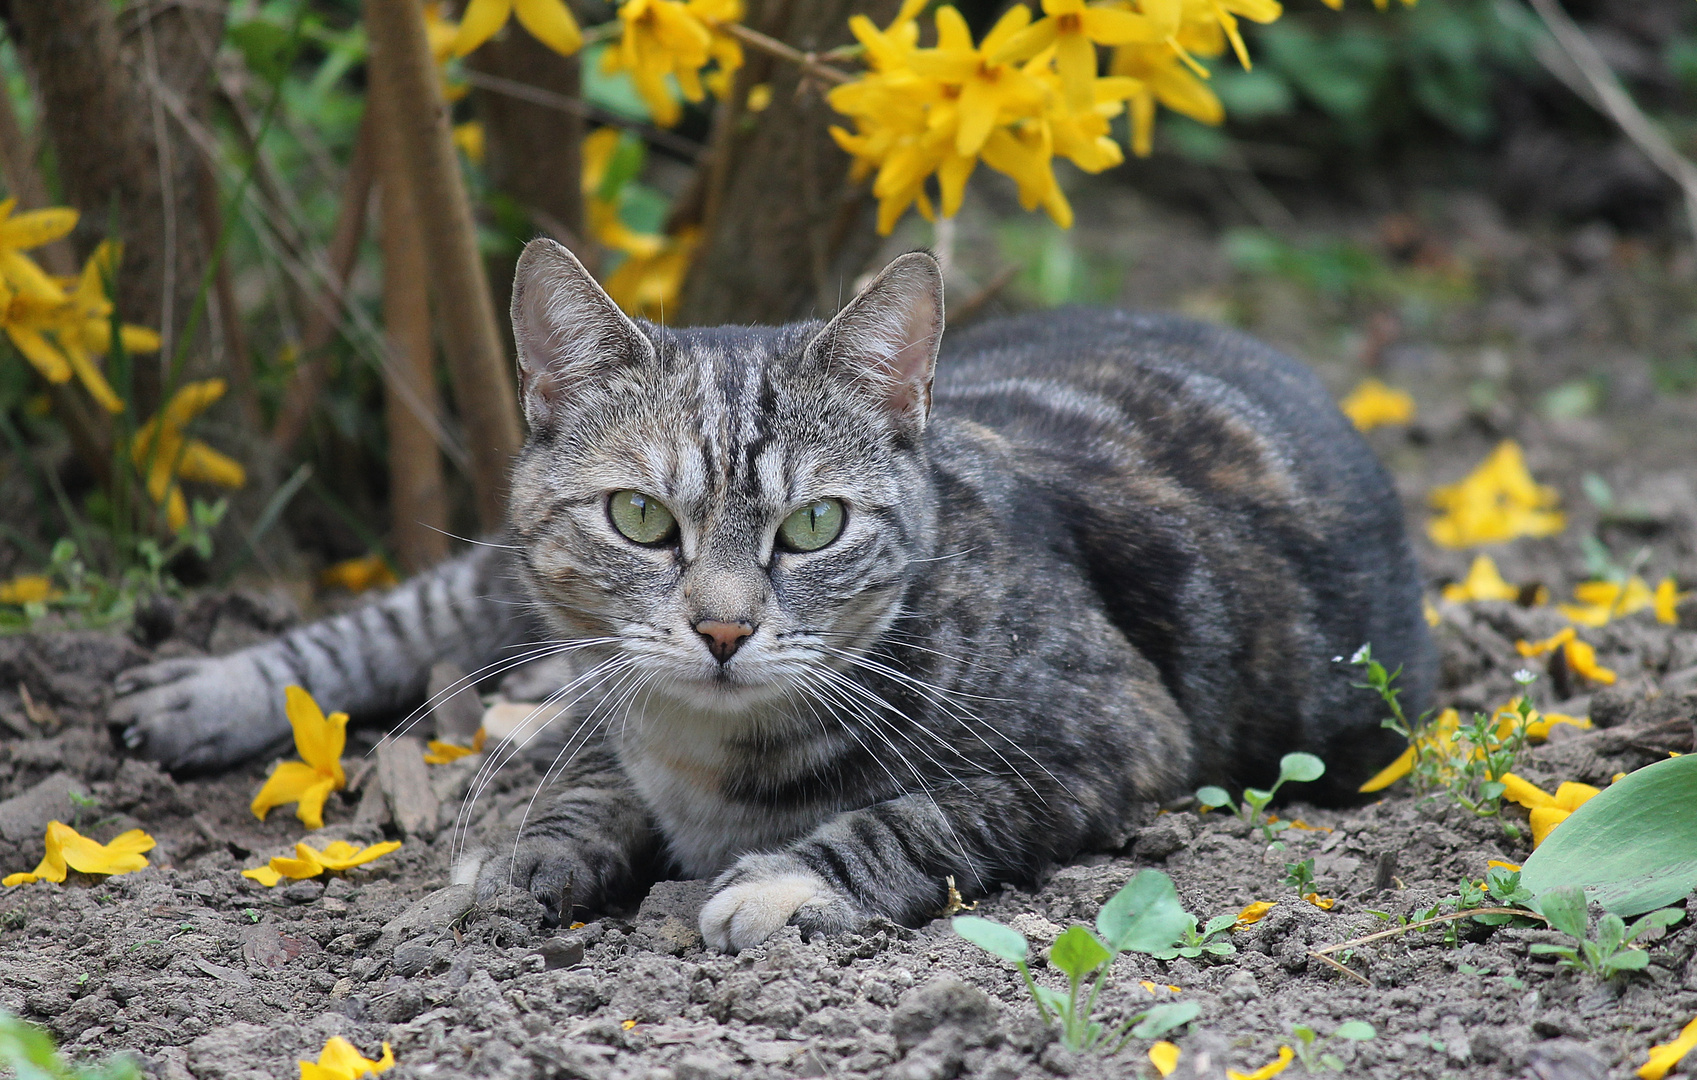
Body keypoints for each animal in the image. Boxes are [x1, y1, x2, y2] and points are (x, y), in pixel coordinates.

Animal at [109, 241, 1432, 950]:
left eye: (814, 527)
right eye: (641, 519)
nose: (723, 625)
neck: (709, 747)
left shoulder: (1112, 739)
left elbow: (922, 813)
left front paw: (785, 877)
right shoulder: (611, 707)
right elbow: (584, 786)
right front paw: (522, 859)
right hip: (492, 582)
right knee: (412, 614)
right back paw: (205, 691)